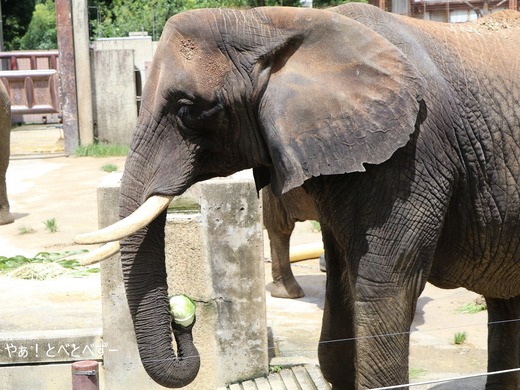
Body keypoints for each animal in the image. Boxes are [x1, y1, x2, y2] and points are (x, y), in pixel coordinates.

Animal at [76, 5, 520, 390]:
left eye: (187, 110)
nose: (182, 318)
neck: (270, 24)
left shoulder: (413, 156)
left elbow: (383, 287)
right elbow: (338, 310)